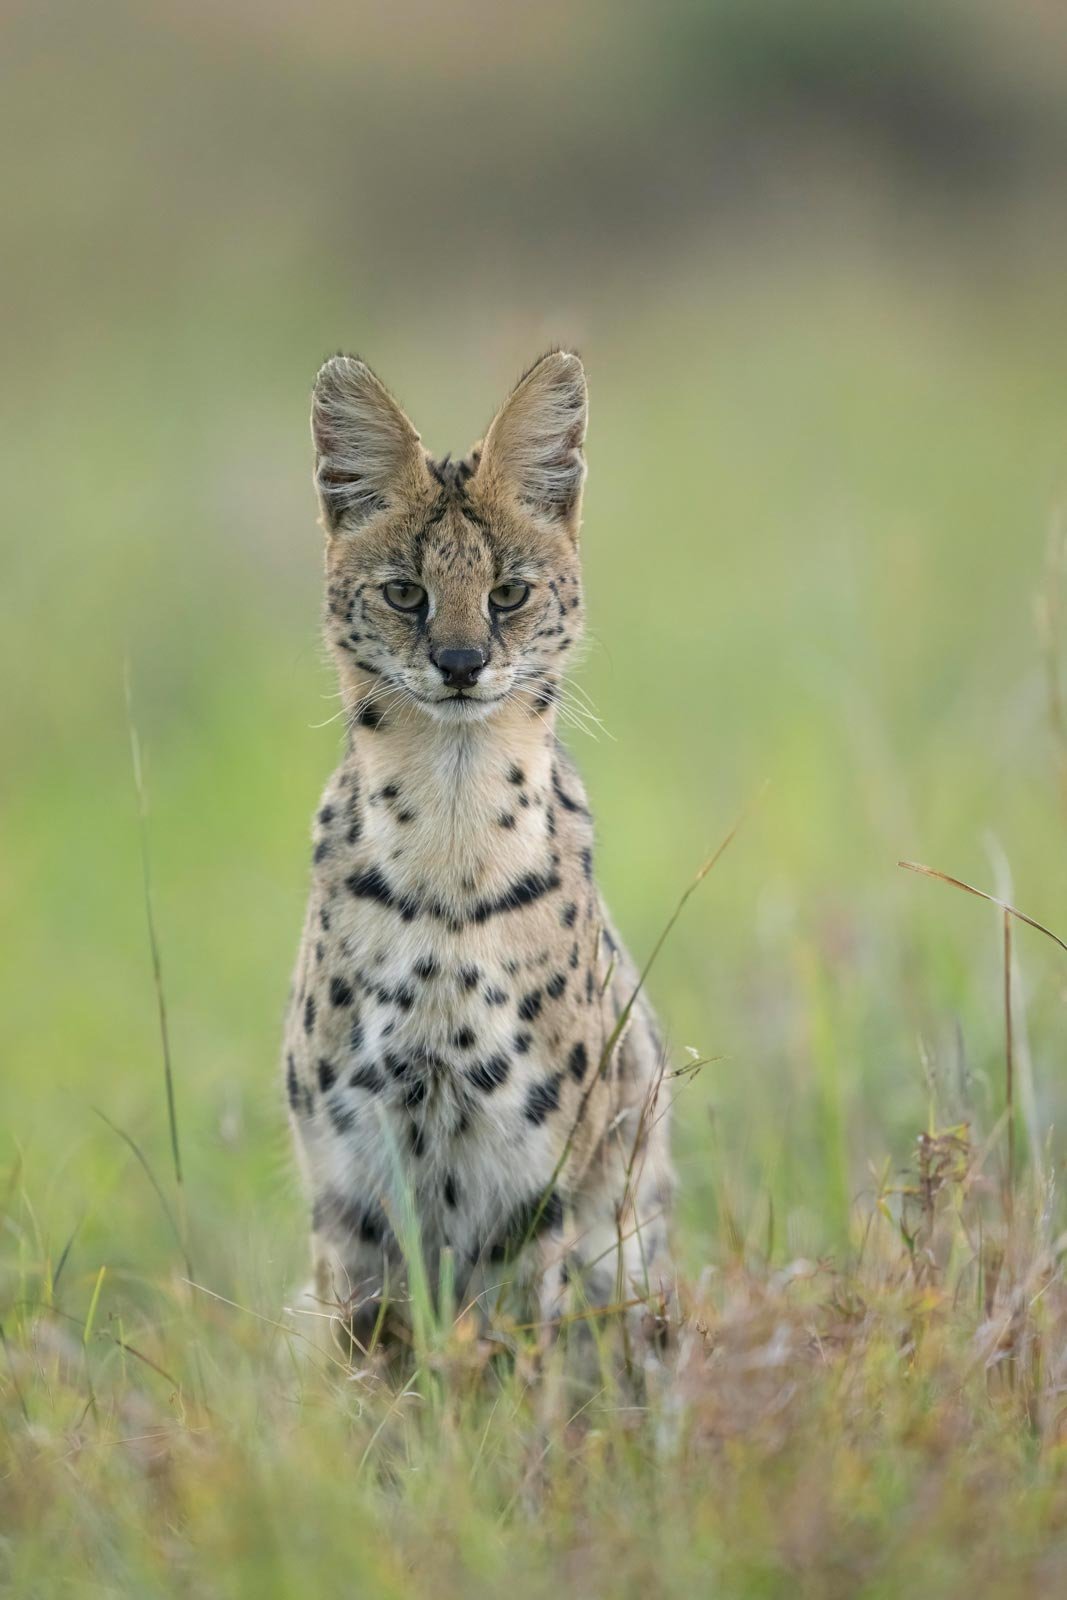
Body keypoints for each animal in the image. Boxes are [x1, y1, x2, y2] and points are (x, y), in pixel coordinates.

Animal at [282, 350, 674, 1367]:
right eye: (404, 593)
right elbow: (374, 1362)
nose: (459, 663)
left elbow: (512, 1355)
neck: (448, 849)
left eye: (508, 592)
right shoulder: (351, 1178)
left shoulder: (526, 1178)